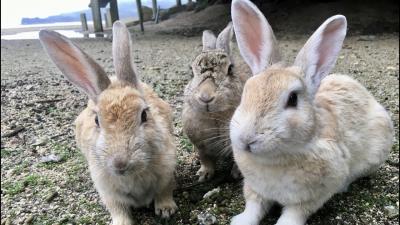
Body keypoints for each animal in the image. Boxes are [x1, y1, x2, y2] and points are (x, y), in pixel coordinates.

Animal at [39, 20, 177, 223]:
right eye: (97, 120)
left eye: (144, 115)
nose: (120, 163)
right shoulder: (107, 191)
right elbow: (117, 209)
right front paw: (122, 222)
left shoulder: (167, 172)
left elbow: (164, 191)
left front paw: (166, 210)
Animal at [182, 22, 250, 182]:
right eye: (191, 72)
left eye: (230, 69)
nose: (205, 97)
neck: (214, 115)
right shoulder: (200, 146)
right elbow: (205, 159)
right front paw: (203, 175)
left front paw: (237, 174)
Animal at [228, 0, 394, 225]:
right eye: (246, 91)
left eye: (292, 99)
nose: (246, 139)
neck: (275, 159)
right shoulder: (255, 188)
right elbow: (253, 206)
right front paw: (241, 220)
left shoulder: (310, 198)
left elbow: (294, 213)